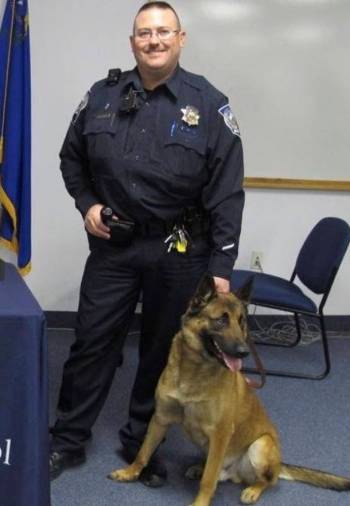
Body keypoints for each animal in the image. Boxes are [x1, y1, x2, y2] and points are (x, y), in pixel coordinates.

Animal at [108, 274, 350, 504]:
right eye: (221, 320)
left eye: (242, 322)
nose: (244, 352)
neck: (194, 370)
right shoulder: (161, 418)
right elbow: (144, 451)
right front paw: (130, 472)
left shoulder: (221, 433)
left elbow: (209, 480)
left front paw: (200, 503)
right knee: (215, 470)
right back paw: (199, 468)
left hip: (260, 445)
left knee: (265, 481)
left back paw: (252, 490)